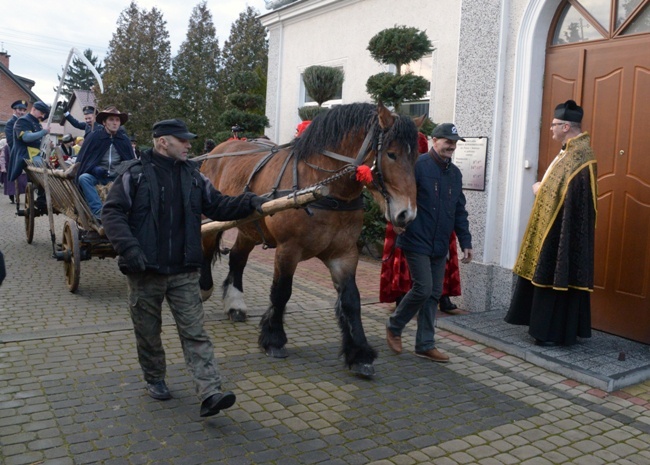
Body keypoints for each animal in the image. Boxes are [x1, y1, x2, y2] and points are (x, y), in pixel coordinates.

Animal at [199, 102, 420, 376]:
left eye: (415, 156)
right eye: (391, 154)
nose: (406, 214)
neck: (320, 188)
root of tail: (219, 149)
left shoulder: (344, 253)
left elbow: (351, 300)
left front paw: (359, 353)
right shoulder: (288, 249)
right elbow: (282, 292)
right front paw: (273, 339)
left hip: (248, 227)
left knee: (237, 259)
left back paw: (235, 304)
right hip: (209, 216)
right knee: (206, 249)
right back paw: (204, 288)